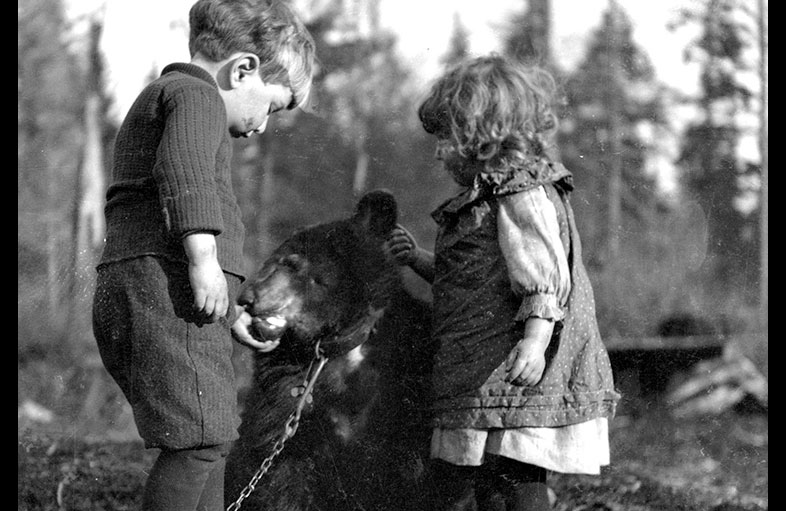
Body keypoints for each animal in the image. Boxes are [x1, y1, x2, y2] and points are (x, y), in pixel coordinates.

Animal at [225, 190, 434, 510]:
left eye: (292, 264)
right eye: (277, 261)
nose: (246, 298)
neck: (334, 345)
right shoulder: (284, 400)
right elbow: (278, 471)